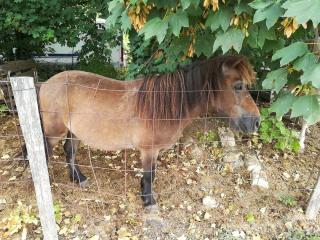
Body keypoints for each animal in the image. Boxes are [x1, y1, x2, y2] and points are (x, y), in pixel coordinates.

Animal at [37, 54, 260, 206]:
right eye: (238, 86)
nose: (256, 122)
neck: (162, 107)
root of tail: (46, 84)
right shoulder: (149, 150)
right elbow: (149, 174)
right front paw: (148, 200)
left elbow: (150, 174)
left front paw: (145, 193)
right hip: (53, 133)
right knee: (45, 154)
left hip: (74, 132)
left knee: (69, 151)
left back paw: (79, 179)